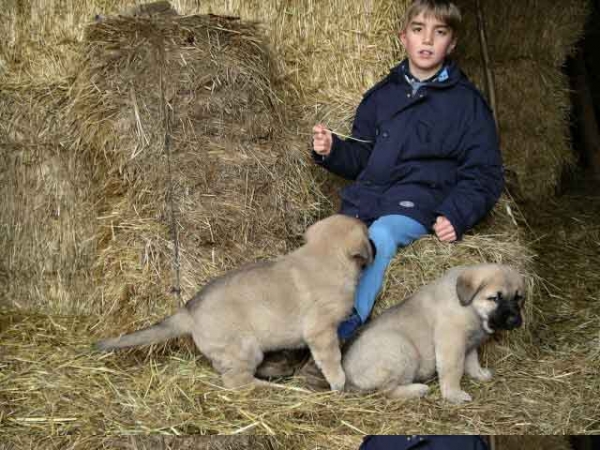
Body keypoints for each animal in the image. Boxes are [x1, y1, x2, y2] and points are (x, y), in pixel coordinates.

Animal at [95, 214, 372, 390]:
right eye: (369, 238)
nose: (376, 246)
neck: (324, 257)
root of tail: (188, 312)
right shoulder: (321, 332)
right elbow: (332, 358)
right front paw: (338, 382)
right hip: (245, 349)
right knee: (236, 383)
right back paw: (271, 389)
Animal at [342, 262, 524, 402]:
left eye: (518, 297)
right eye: (495, 298)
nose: (514, 320)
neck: (470, 308)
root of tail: (348, 377)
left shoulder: (470, 343)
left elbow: (472, 361)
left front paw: (479, 374)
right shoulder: (452, 341)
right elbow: (453, 369)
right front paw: (454, 394)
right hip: (403, 349)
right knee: (387, 391)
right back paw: (418, 389)